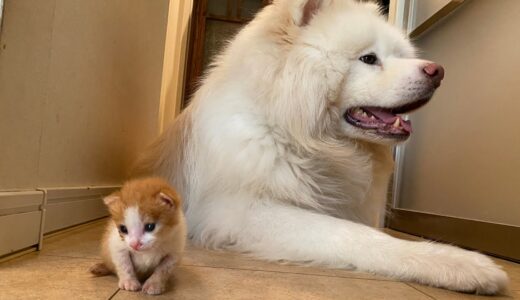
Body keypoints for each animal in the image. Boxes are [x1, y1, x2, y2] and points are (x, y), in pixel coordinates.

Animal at [134, 0, 508, 292]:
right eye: (369, 59)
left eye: (400, 55)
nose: (438, 71)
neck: (294, 135)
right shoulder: (241, 211)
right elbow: (356, 236)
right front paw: (460, 263)